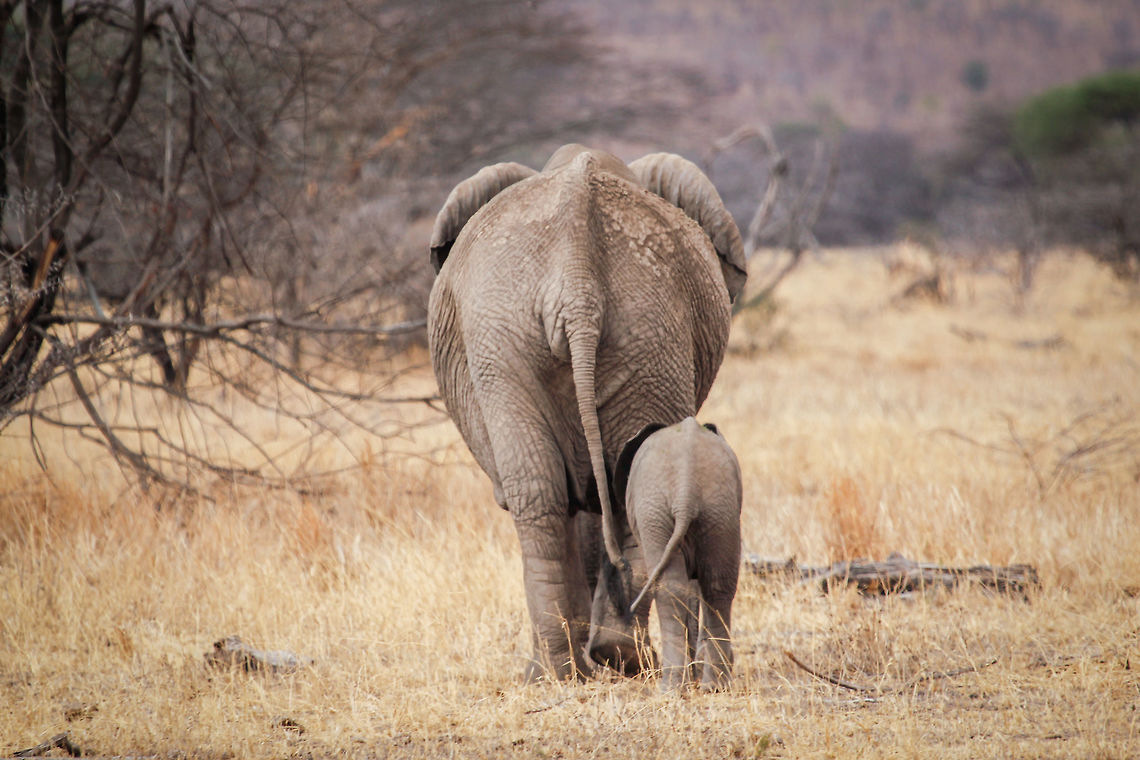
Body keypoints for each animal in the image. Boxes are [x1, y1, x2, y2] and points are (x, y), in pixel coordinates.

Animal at [589, 417, 743, 691]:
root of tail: (685, 493)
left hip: (656, 514)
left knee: (669, 590)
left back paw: (670, 687)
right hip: (719, 510)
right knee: (718, 587)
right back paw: (714, 686)